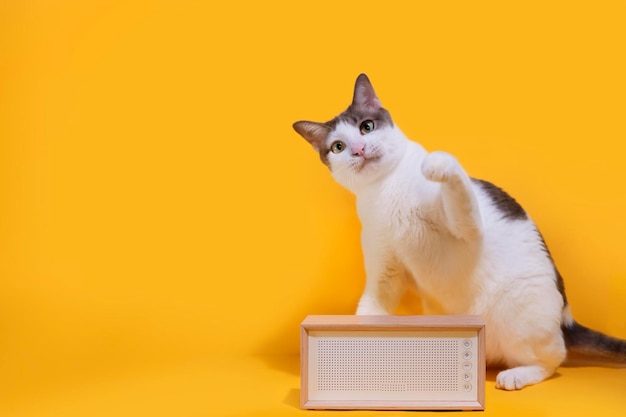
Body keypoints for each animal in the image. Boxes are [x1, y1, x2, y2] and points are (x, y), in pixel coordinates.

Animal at [292, 73, 624, 388]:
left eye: (367, 127)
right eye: (338, 147)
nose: (359, 150)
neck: (385, 189)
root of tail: (566, 316)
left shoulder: (468, 226)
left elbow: (454, 177)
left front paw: (436, 162)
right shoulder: (385, 273)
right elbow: (368, 313)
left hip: (520, 312)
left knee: (553, 359)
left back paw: (515, 376)